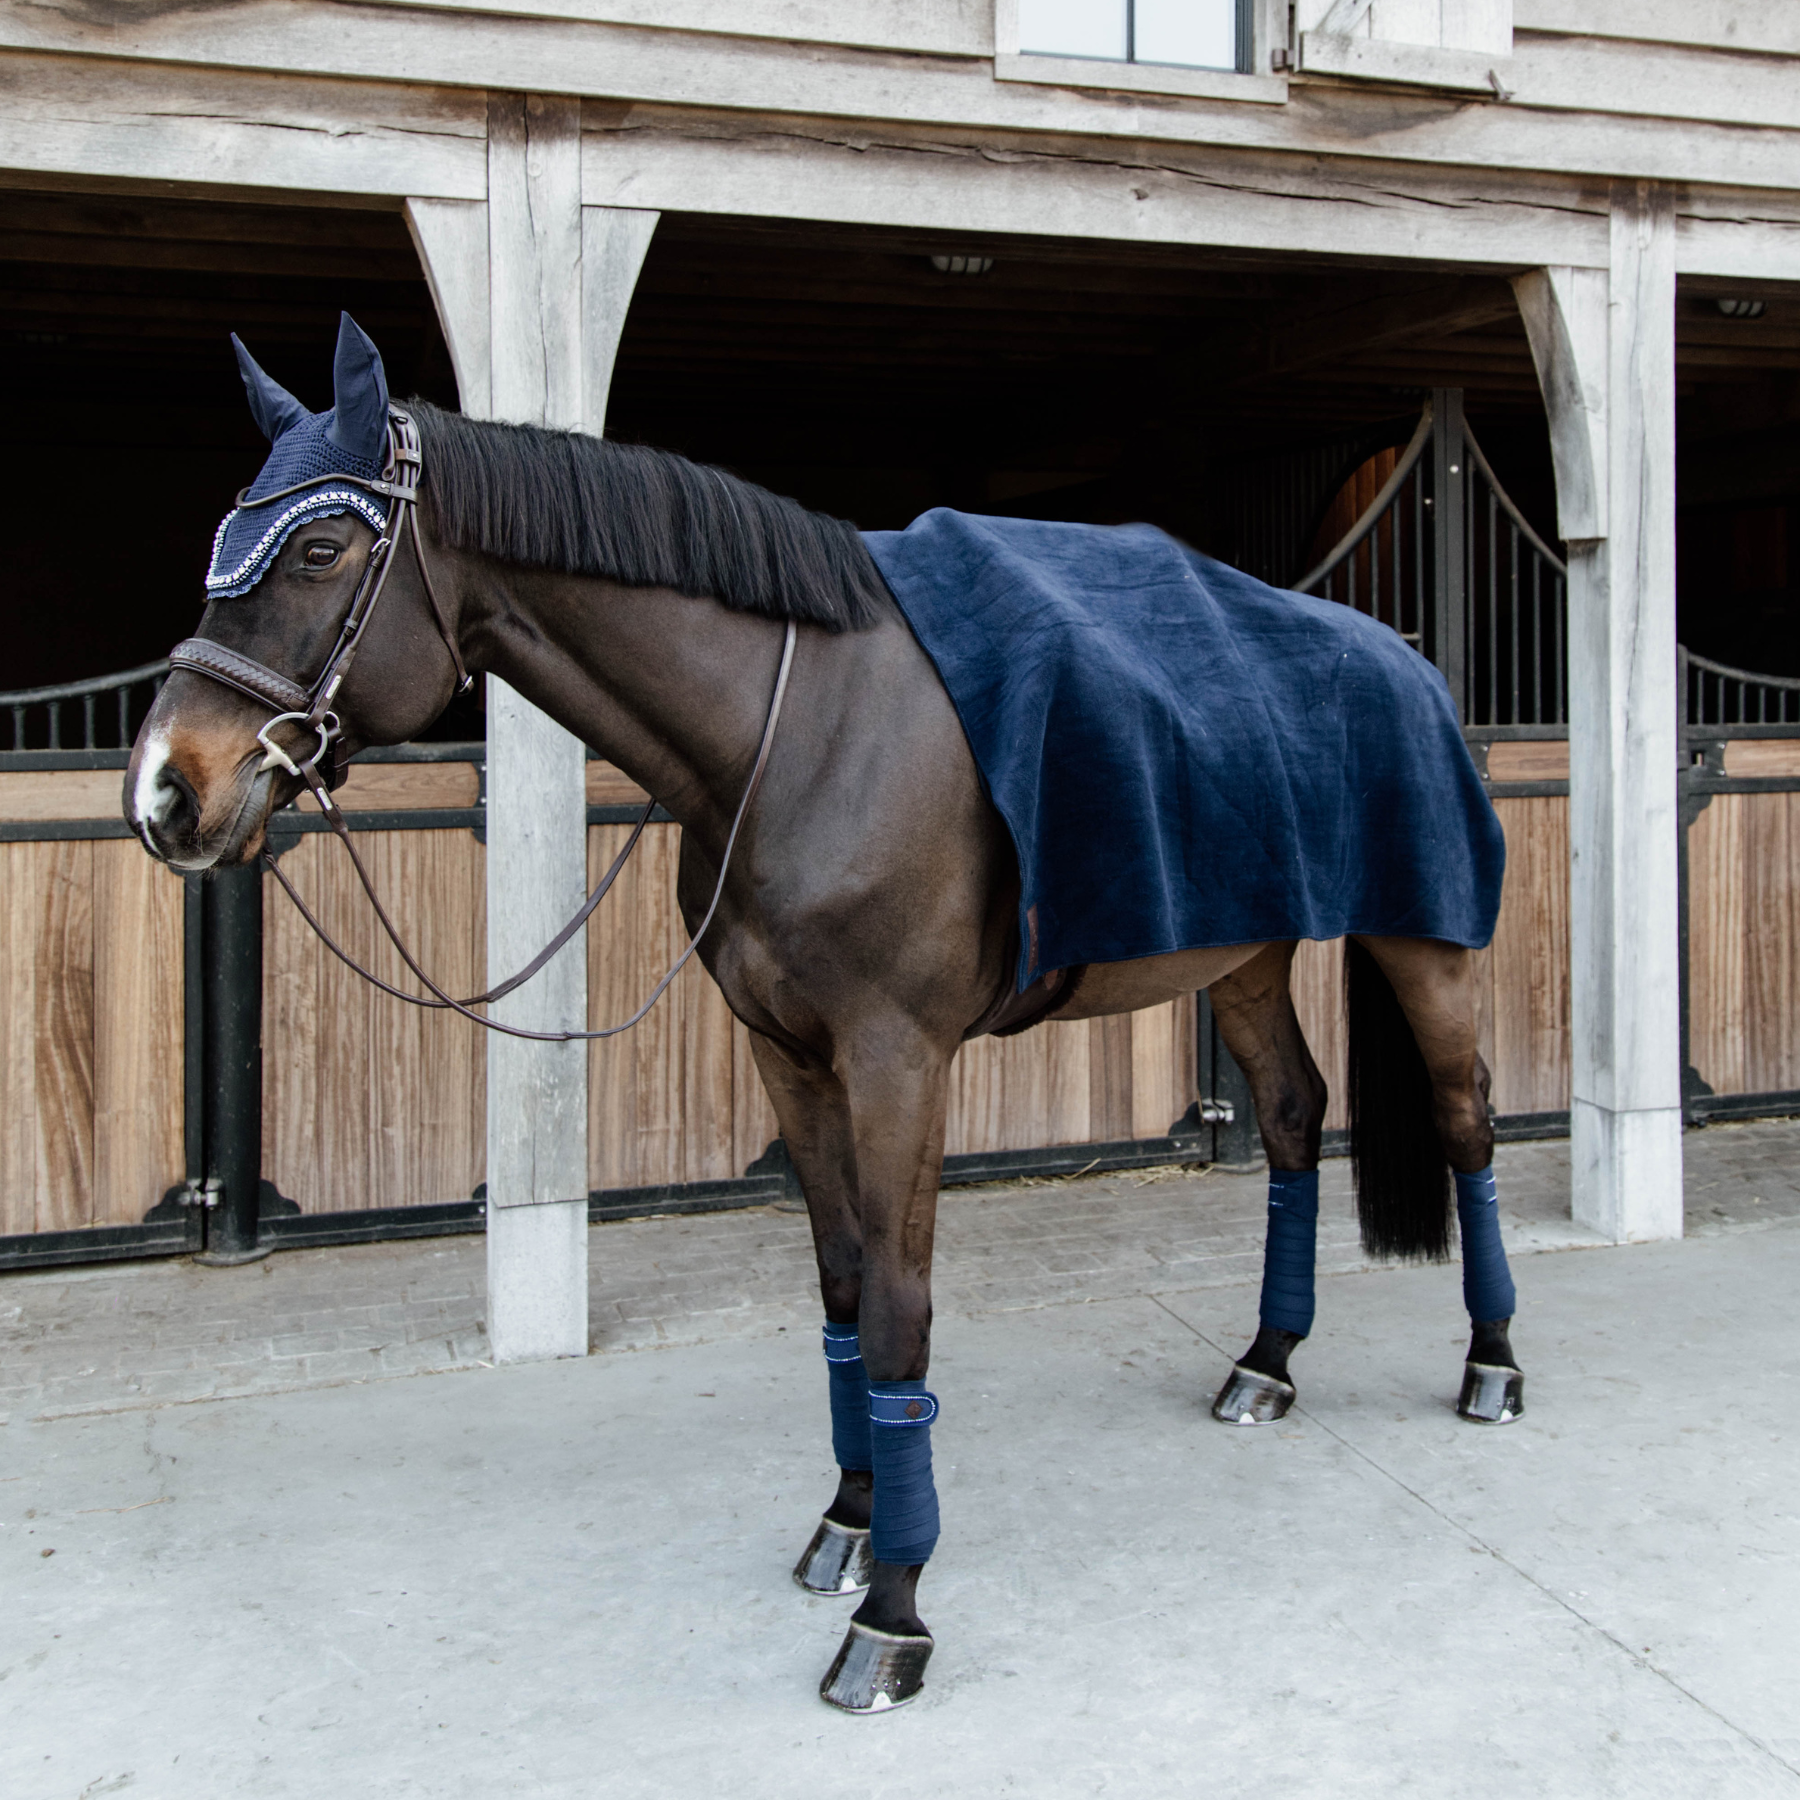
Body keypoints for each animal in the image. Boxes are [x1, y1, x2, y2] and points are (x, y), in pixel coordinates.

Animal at [123, 320, 1519, 1713]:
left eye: (319, 548)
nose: (164, 794)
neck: (793, 739)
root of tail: (1404, 657)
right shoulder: (786, 1055)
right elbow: (844, 1286)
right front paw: (850, 1523)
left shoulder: (899, 1060)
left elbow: (900, 1308)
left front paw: (893, 1615)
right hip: (1242, 959)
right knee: (1289, 1117)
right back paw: (1266, 1365)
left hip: (1428, 949)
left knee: (1466, 1123)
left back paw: (1492, 1366)